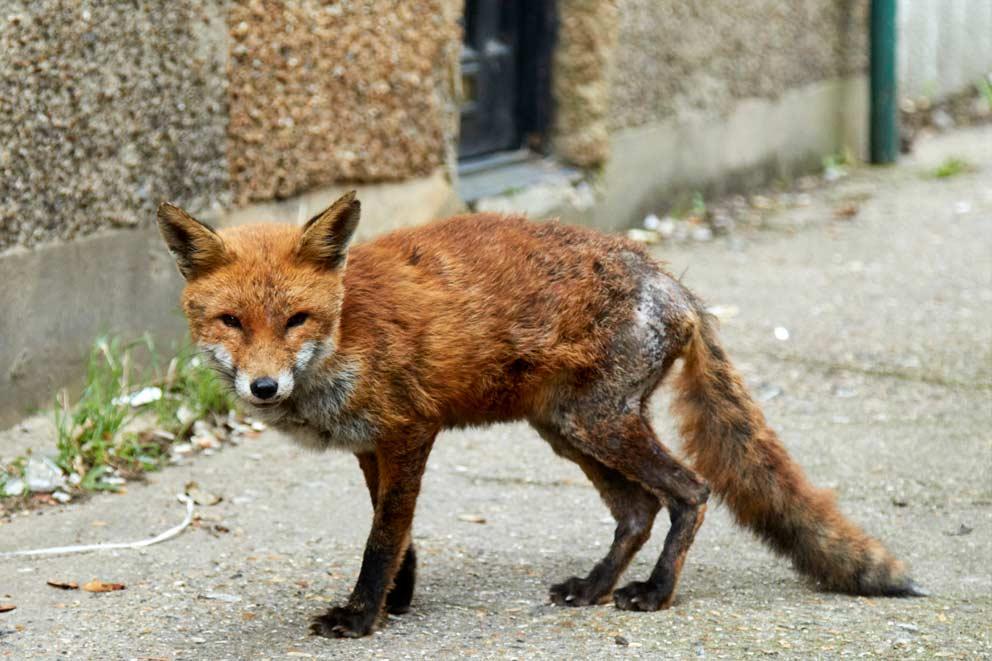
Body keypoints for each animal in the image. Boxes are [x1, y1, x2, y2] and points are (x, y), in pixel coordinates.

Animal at [159, 193, 928, 636]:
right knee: (638, 510)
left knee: (690, 491)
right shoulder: (371, 445)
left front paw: (361, 617)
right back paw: (593, 587)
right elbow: (396, 531)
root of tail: (674, 284)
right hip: (568, 431)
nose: (263, 387)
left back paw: (655, 593)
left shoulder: (410, 431)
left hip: (600, 425)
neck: (346, 332)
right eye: (230, 320)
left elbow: (383, 538)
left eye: (296, 319)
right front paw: (396, 602)